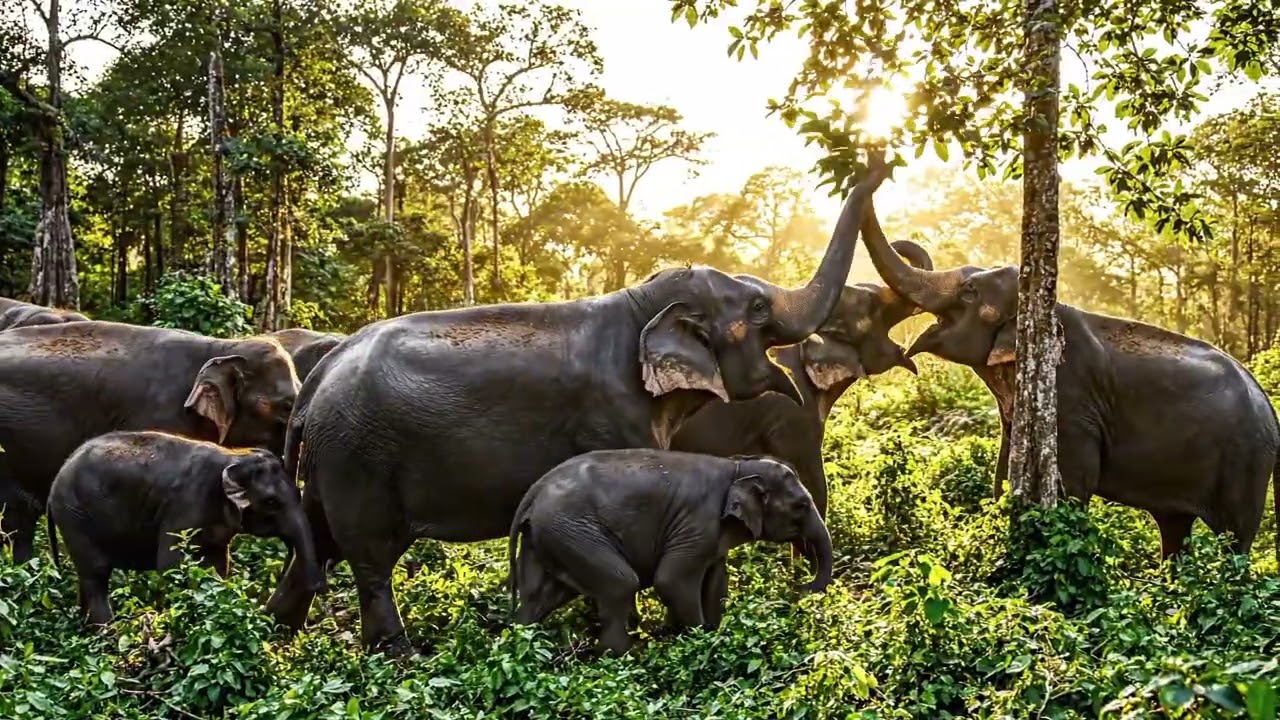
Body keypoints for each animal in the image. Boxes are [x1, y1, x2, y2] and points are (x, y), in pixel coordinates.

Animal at [48, 431, 325, 625]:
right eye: (271, 502)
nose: (319, 586)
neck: (234, 455)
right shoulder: (185, 507)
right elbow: (170, 564)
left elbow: (218, 565)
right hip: (74, 515)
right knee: (96, 574)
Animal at [507, 449, 830, 655]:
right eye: (802, 505)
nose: (800, 586)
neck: (736, 466)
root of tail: (534, 491)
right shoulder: (696, 523)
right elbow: (671, 580)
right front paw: (699, 640)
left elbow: (715, 583)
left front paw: (712, 633)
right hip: (572, 530)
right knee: (620, 584)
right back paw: (622, 658)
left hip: (548, 536)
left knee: (540, 597)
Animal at [859, 198, 1280, 562]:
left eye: (969, 292)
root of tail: (1268, 406)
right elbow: (1002, 473)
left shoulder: (1072, 402)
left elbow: (1076, 482)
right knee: (1175, 528)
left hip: (1247, 461)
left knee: (1236, 536)